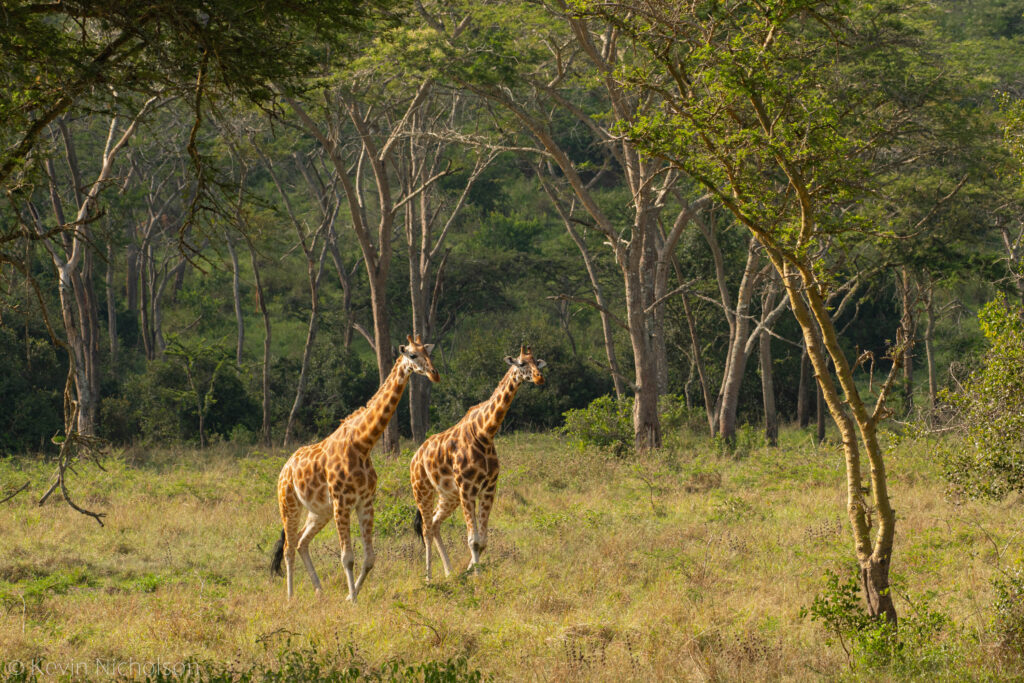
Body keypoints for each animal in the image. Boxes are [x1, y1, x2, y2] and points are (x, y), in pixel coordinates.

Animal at [270, 335, 439, 602]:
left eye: (428, 353)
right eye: (412, 355)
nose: (434, 374)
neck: (362, 444)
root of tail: (284, 468)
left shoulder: (365, 502)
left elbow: (369, 558)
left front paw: (351, 595)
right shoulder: (342, 502)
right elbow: (347, 558)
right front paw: (353, 599)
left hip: (319, 511)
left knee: (301, 543)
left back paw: (319, 591)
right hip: (289, 503)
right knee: (288, 548)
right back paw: (290, 597)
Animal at [410, 345, 546, 580]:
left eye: (537, 362)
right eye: (521, 363)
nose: (539, 378)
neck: (485, 432)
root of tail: (414, 458)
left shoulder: (488, 488)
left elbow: (482, 541)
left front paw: (471, 571)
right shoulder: (467, 489)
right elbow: (473, 541)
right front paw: (478, 576)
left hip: (448, 495)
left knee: (435, 523)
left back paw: (449, 572)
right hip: (423, 490)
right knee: (426, 528)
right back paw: (428, 577)